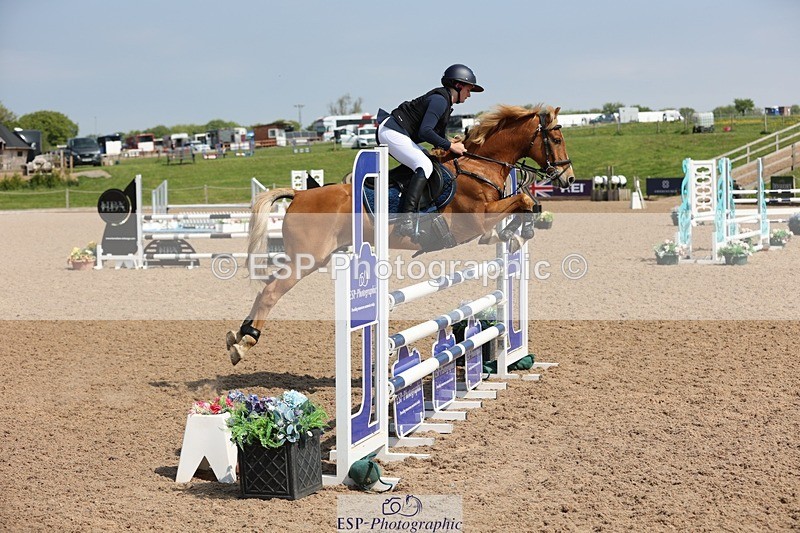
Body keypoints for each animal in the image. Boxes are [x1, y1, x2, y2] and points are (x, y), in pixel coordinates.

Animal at [226, 104, 575, 365]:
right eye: (556, 139)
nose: (568, 178)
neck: (479, 166)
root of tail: (299, 194)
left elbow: (527, 203)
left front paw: (516, 234)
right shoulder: (475, 221)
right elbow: (525, 201)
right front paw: (515, 234)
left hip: (315, 257)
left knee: (269, 286)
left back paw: (239, 337)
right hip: (307, 258)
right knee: (271, 291)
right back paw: (244, 343)